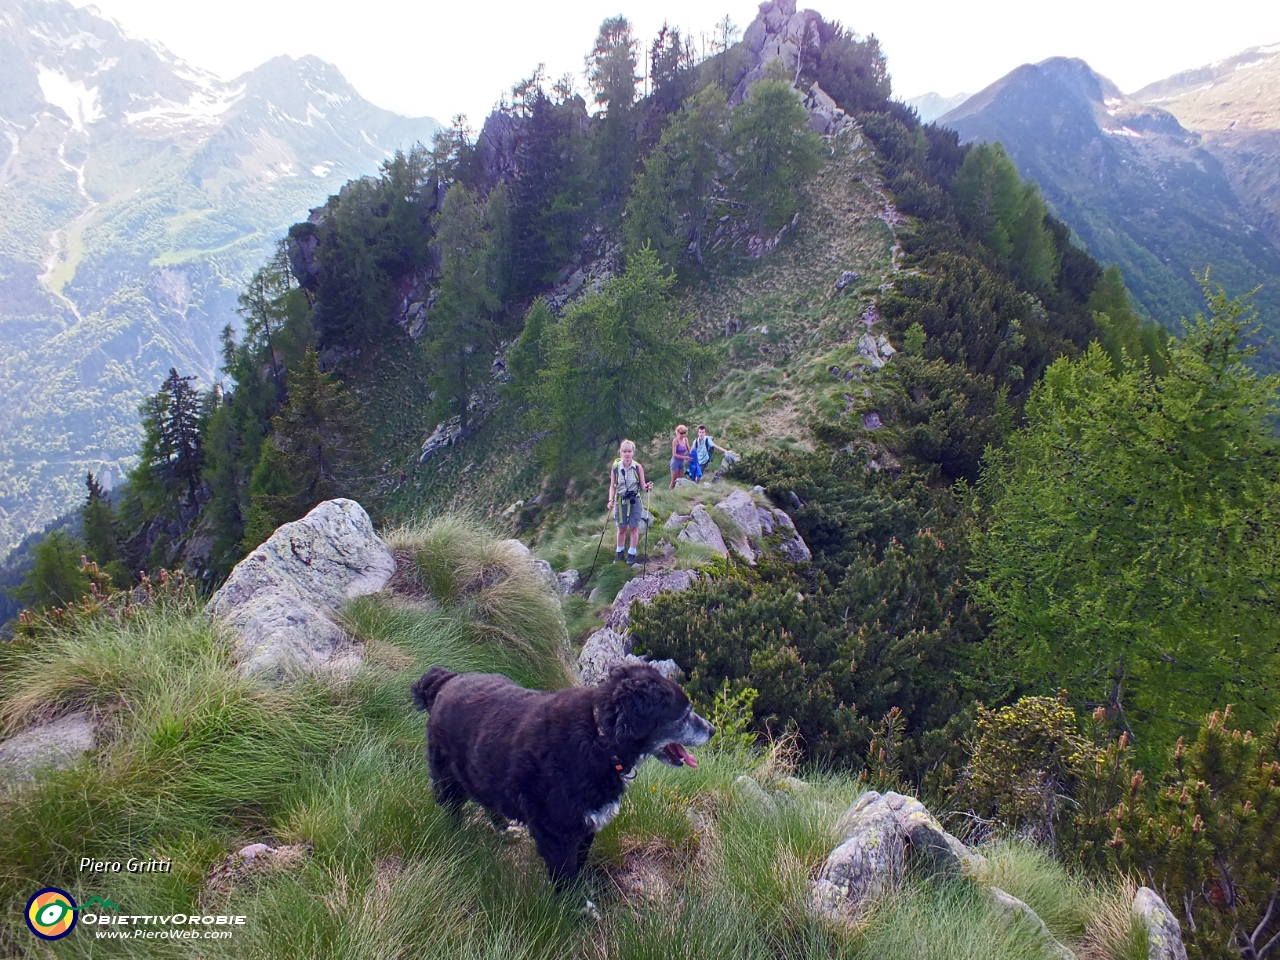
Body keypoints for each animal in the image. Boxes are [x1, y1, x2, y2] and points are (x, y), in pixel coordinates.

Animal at [412, 665, 716, 885]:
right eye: (684, 713)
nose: (712, 730)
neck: (599, 738)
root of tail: (445, 680)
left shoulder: (586, 825)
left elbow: (579, 865)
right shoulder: (557, 832)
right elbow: (566, 877)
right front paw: (576, 911)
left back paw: (503, 828)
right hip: (447, 778)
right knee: (452, 809)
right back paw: (457, 836)